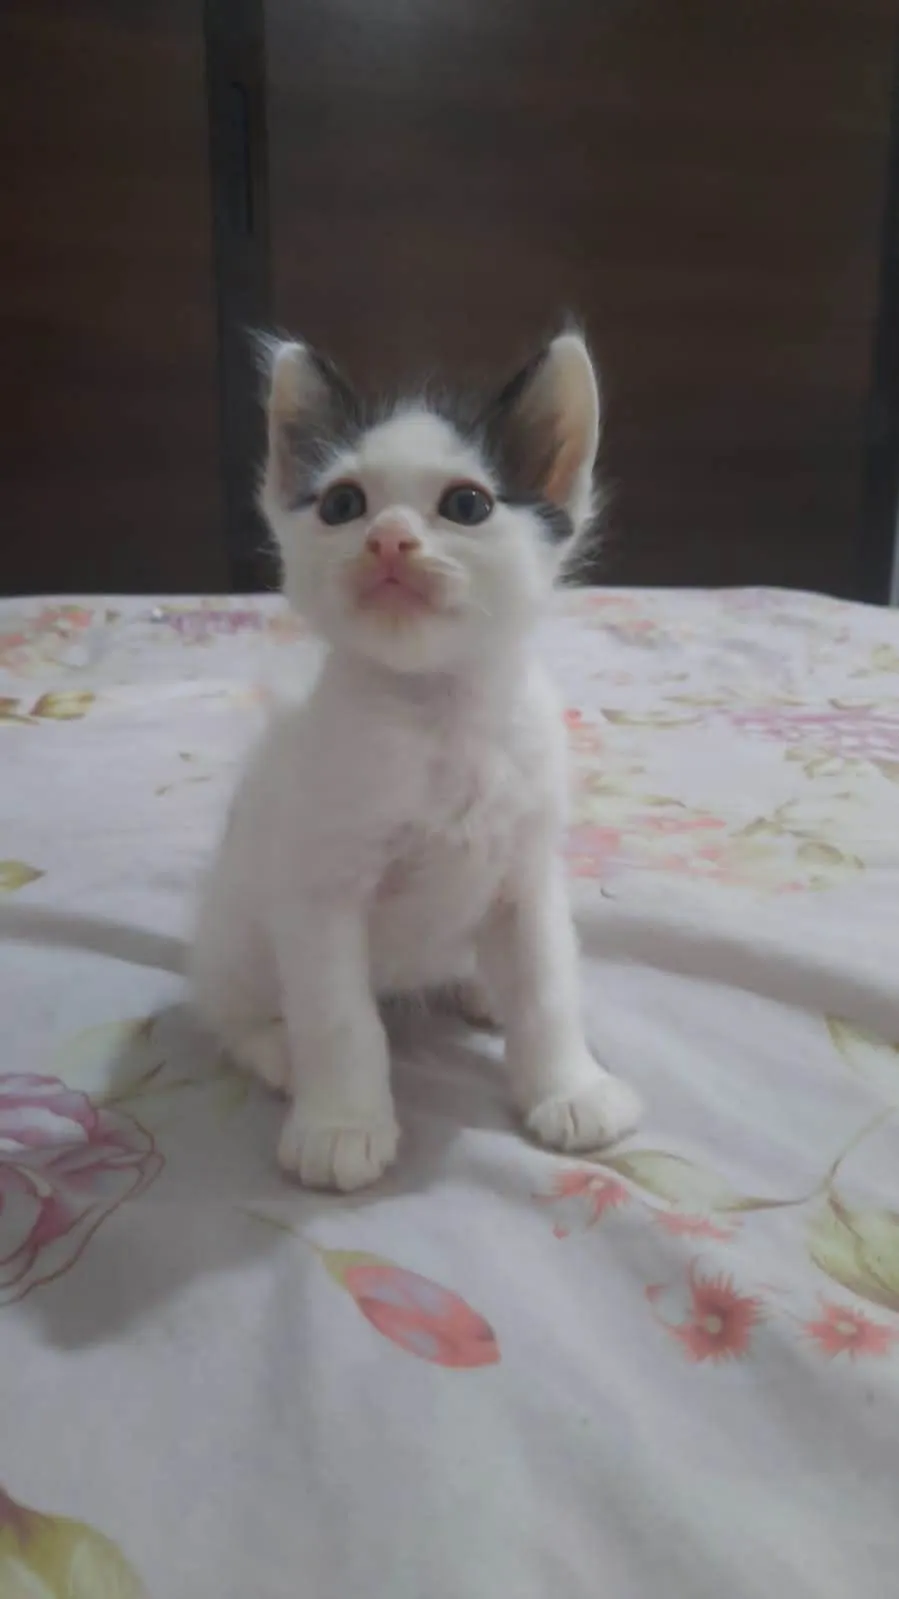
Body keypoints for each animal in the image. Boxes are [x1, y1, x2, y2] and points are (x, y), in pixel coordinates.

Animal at [188, 328, 642, 1190]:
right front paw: (341, 1124)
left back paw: (479, 985)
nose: (388, 539)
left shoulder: (527, 874)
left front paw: (566, 1087)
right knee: (230, 1010)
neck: (436, 718)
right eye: (342, 505)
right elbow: (339, 1018)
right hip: (236, 929)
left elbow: (546, 984)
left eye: (465, 505)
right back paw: (276, 1048)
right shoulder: (320, 893)